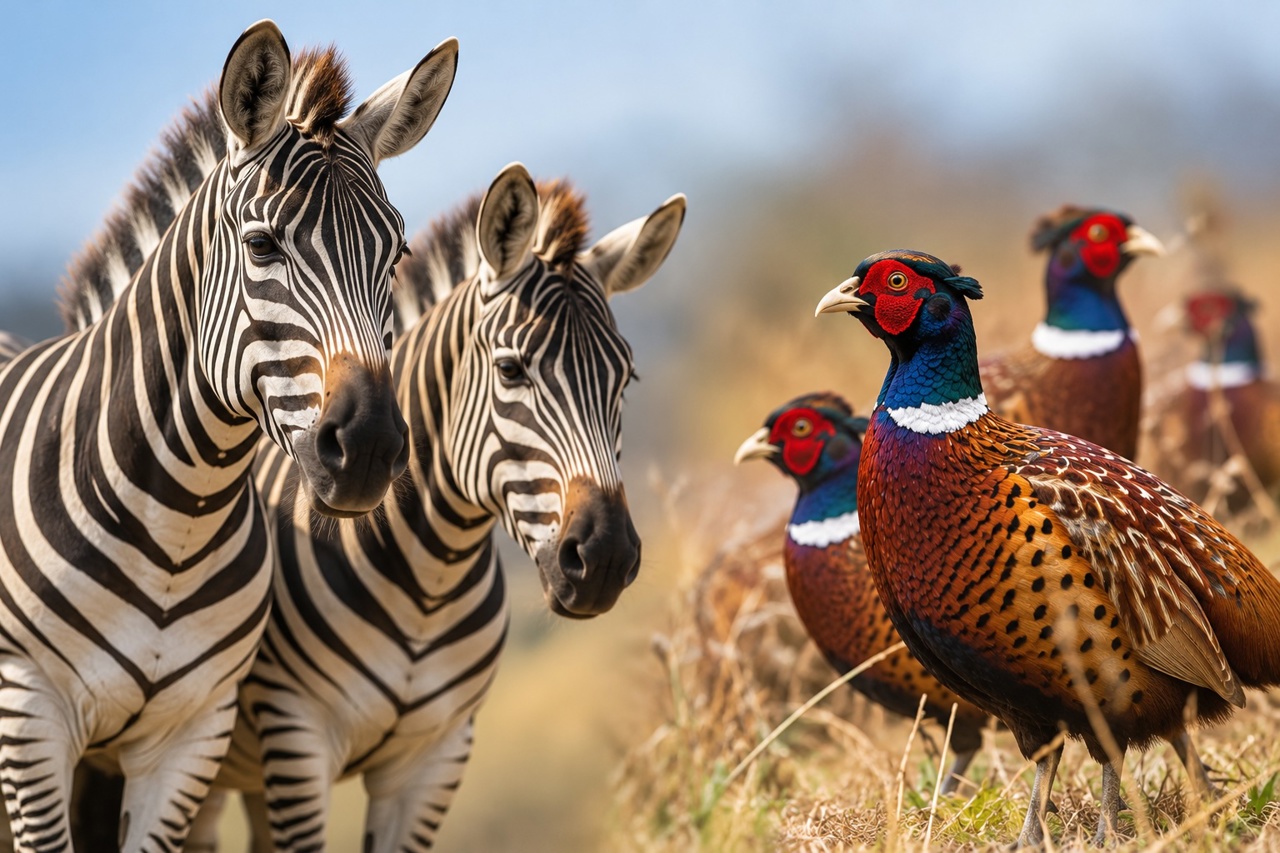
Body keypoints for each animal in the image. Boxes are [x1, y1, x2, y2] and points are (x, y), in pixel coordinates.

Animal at [0, 20, 458, 850]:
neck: (176, 520)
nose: (370, 447)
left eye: (397, 254)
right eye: (263, 245)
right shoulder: (29, 710)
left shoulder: (191, 735)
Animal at [183, 162, 687, 851]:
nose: (606, 556)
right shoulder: (296, 735)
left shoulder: (436, 757)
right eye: (511, 370)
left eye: (625, 381)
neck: (429, 578)